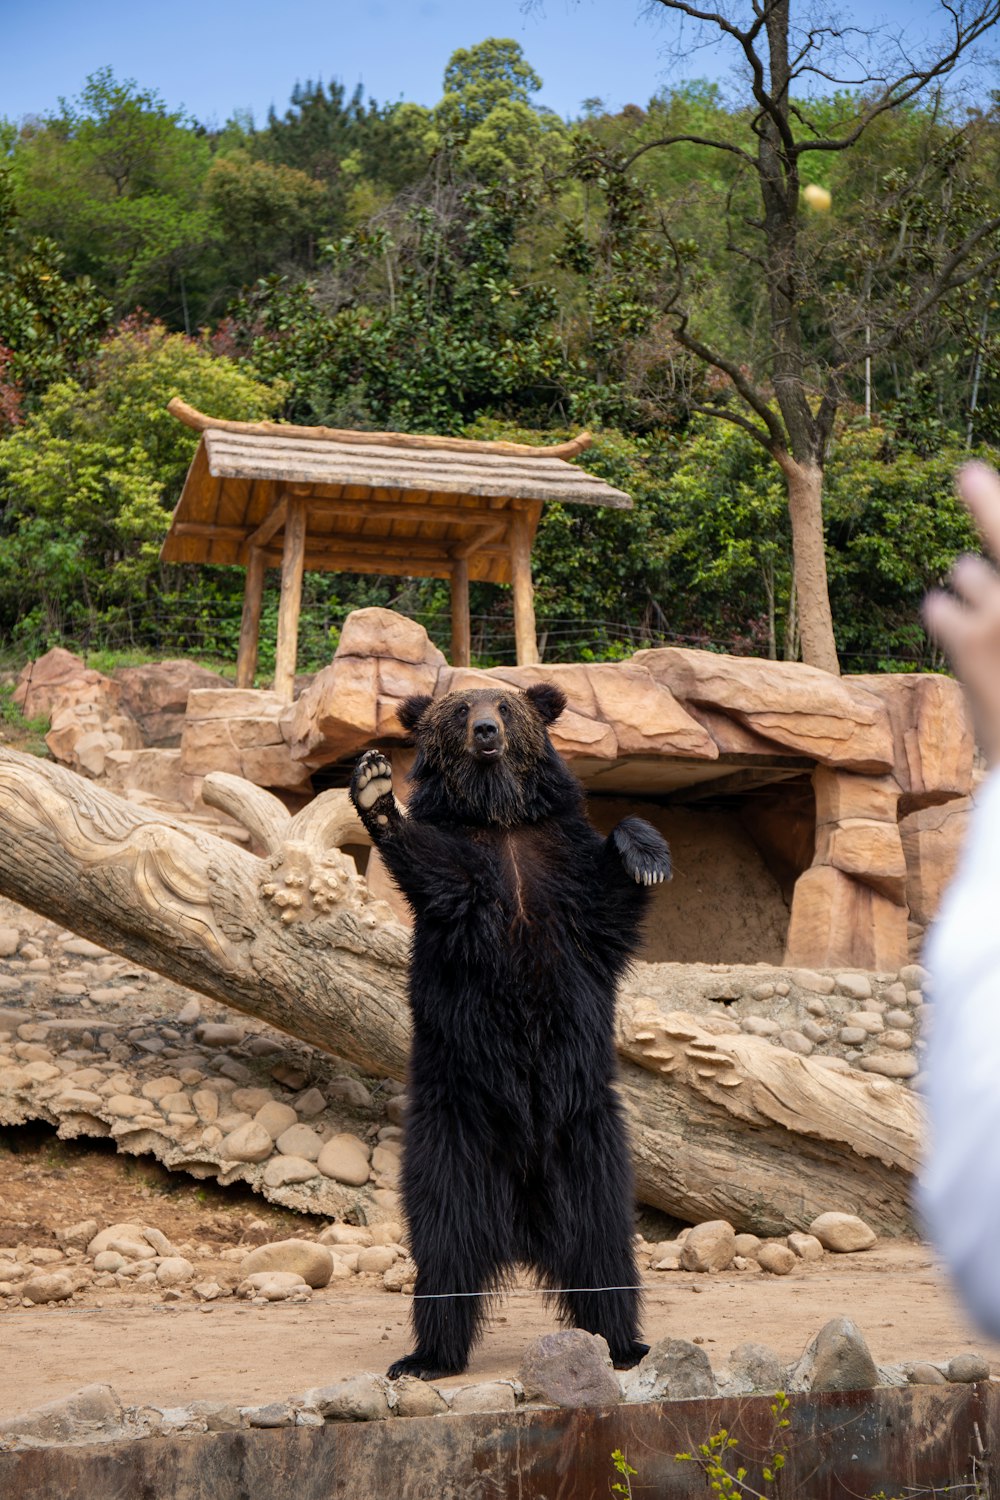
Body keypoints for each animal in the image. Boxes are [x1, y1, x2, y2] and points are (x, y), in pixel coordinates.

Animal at [352, 687, 671, 1374]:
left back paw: (624, 1341)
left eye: (503, 703)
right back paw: (429, 1355)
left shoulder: (563, 876)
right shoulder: (468, 894)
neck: (500, 819)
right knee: (444, 1246)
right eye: (458, 710)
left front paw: (647, 857)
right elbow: (438, 872)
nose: (486, 732)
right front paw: (375, 787)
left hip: (590, 1139)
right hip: (452, 1131)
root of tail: (524, 1226)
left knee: (604, 1245)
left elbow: (614, 891)